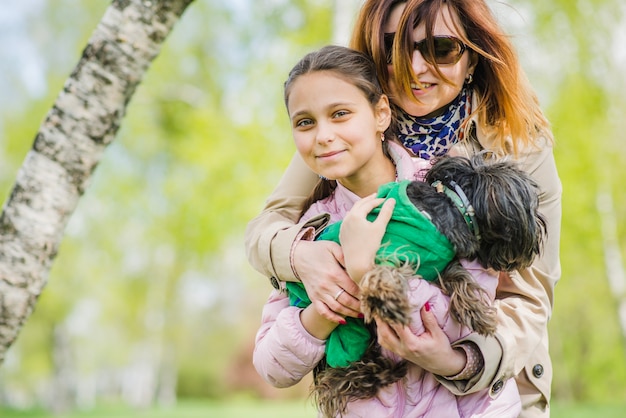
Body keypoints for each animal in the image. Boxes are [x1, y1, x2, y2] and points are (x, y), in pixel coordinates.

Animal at [314, 154, 544, 418]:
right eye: (531, 206)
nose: (540, 228)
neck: (453, 206)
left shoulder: (439, 263)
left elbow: (459, 276)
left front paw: (476, 312)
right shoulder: (385, 249)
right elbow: (382, 275)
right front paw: (390, 302)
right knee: (338, 376)